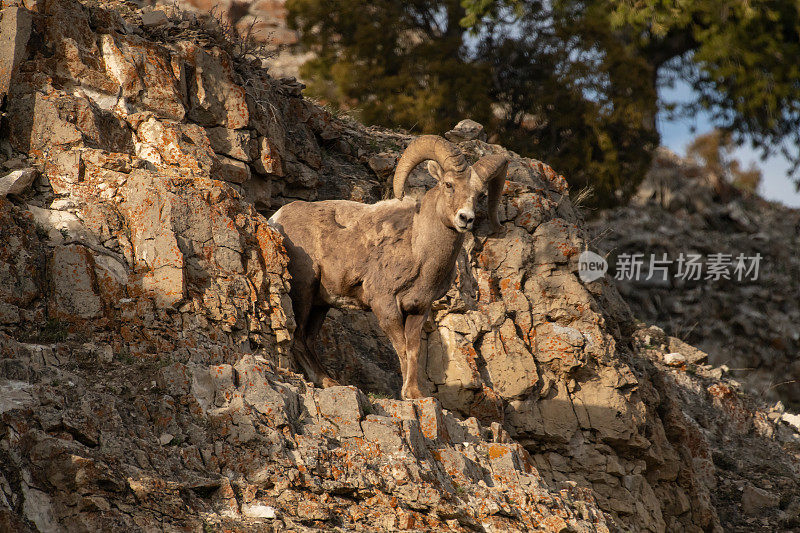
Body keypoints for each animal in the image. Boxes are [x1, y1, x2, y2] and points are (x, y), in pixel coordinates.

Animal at [268, 135, 506, 396]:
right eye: (449, 184)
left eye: (481, 195)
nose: (466, 218)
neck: (419, 252)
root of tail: (277, 219)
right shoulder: (385, 305)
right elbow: (401, 348)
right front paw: (407, 394)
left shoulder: (419, 309)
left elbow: (413, 350)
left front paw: (414, 394)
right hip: (304, 290)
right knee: (299, 336)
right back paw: (327, 381)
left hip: (322, 303)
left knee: (309, 338)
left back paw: (330, 381)